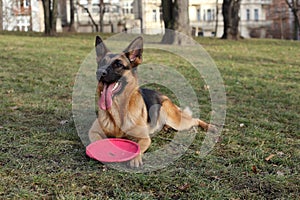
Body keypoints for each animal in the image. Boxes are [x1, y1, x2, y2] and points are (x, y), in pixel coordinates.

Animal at [89, 35, 213, 167]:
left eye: (118, 64)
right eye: (102, 63)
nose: (99, 72)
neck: (119, 110)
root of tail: (164, 96)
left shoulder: (145, 138)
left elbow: (138, 146)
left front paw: (135, 158)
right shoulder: (93, 132)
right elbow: (96, 140)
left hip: (176, 121)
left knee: (195, 120)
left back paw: (210, 126)